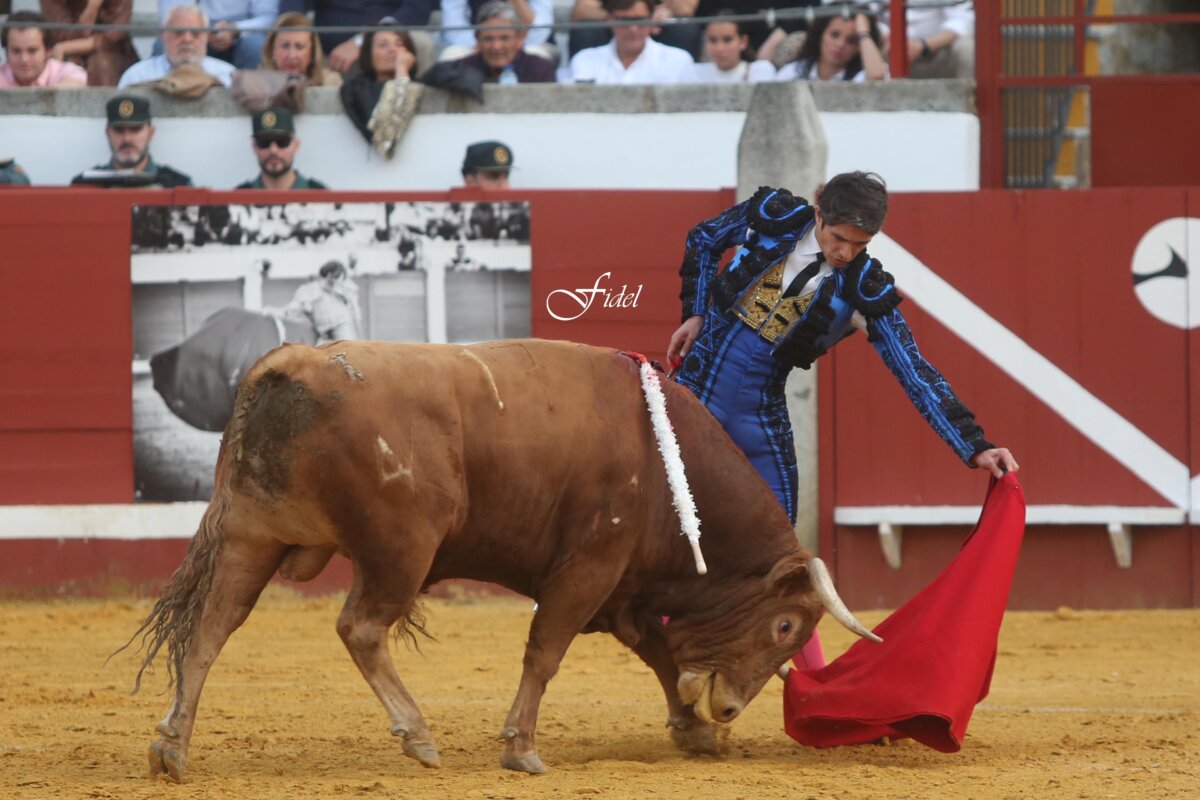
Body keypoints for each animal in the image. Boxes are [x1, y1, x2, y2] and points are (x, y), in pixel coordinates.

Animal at [126, 339, 877, 781]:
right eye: (785, 627)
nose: (727, 709)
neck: (668, 465)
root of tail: (288, 363)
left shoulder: (622, 590)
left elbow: (659, 653)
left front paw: (692, 733)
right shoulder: (587, 569)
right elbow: (546, 653)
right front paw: (520, 749)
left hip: (253, 536)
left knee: (213, 626)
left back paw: (172, 746)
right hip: (401, 550)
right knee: (360, 628)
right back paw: (418, 735)